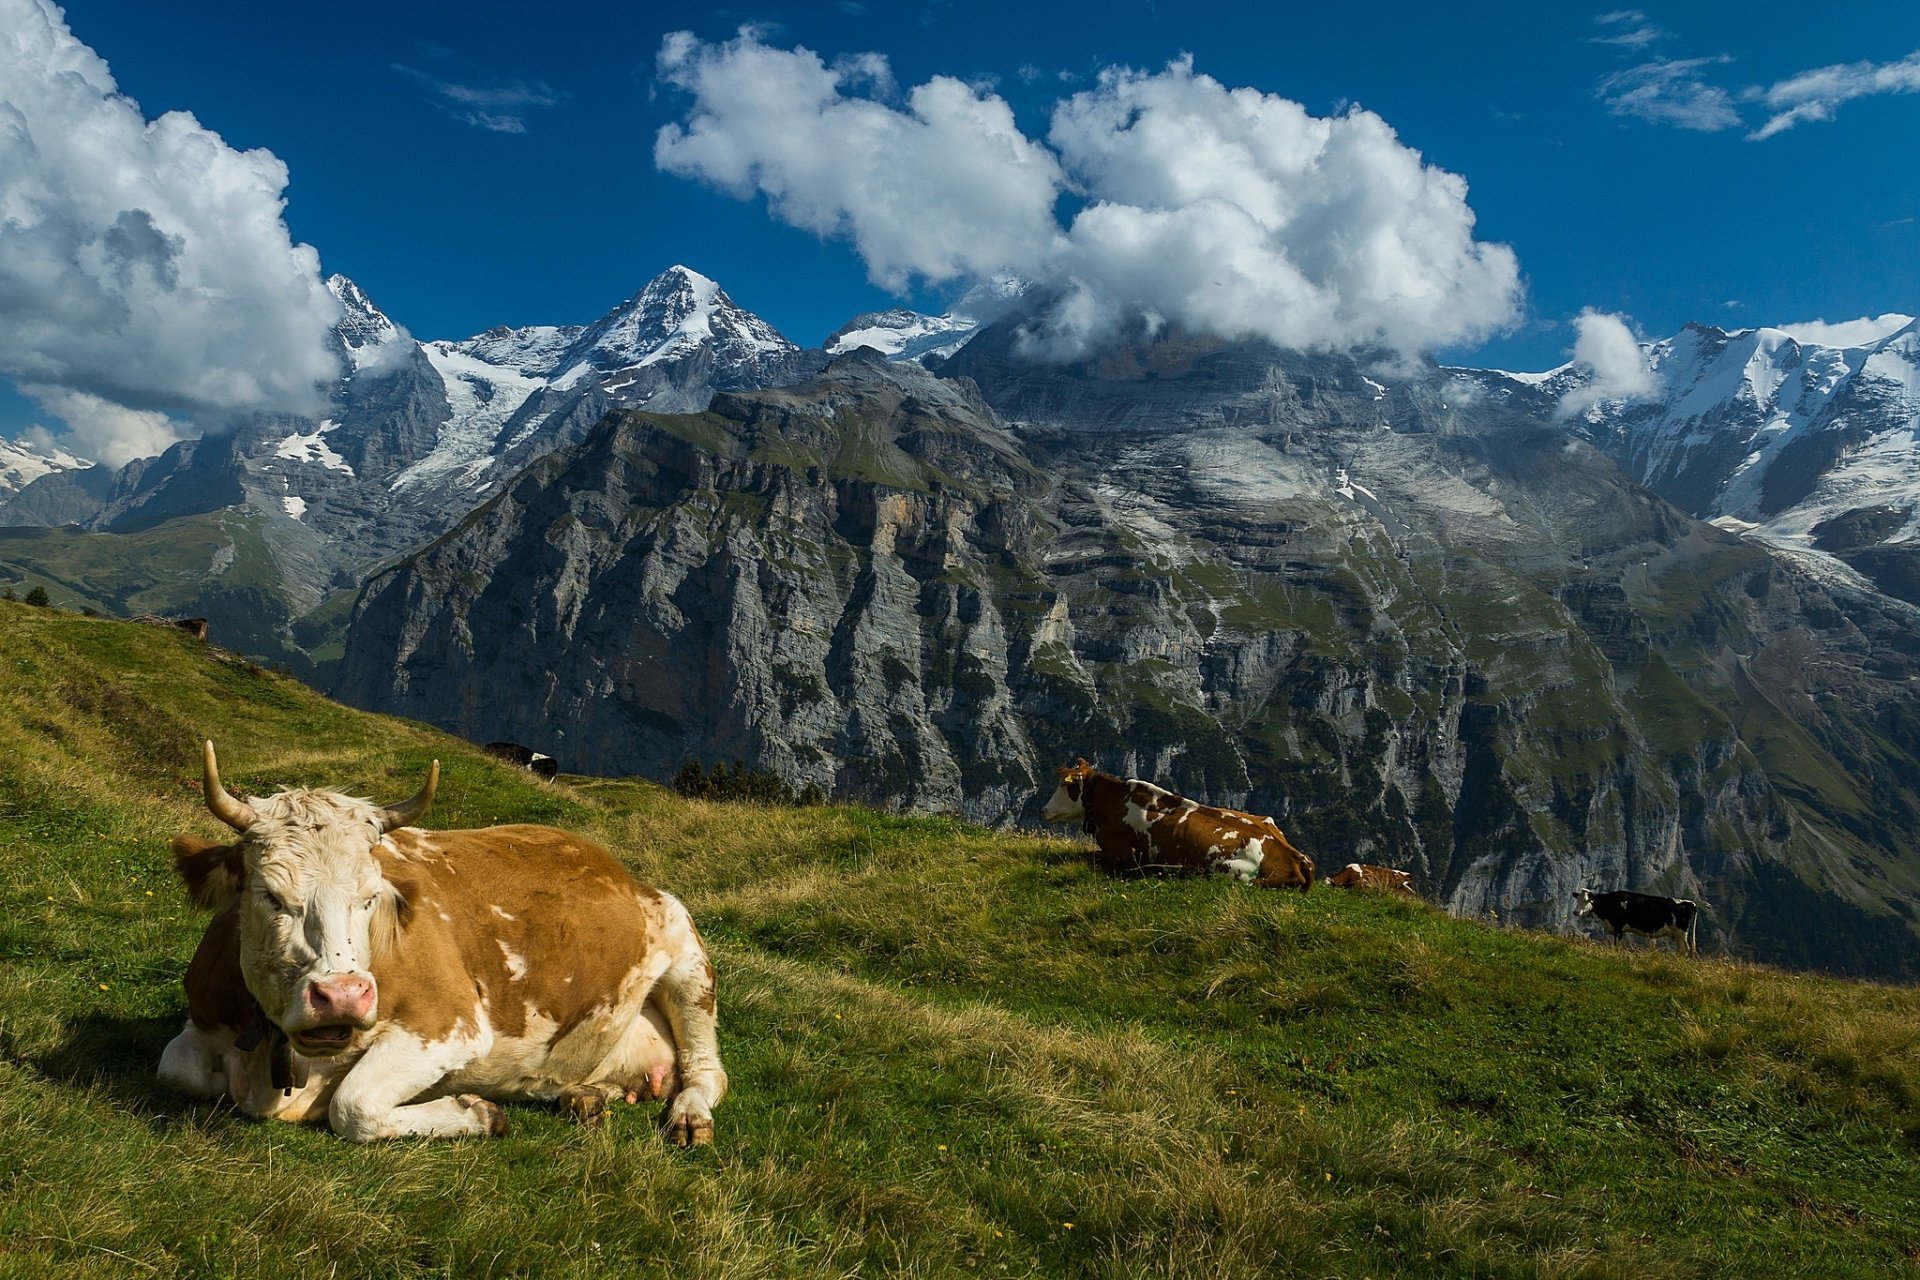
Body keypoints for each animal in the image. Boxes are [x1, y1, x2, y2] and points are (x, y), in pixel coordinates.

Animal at [156, 741, 726, 1144]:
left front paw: (478, 1112)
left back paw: (688, 1117)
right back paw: (584, 1095)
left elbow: (353, 1105)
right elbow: (176, 1069)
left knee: (706, 1071)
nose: (341, 996)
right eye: (270, 895)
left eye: (370, 896)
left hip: (689, 962)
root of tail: (618, 870)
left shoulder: (450, 1025)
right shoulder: (203, 1020)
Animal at [1039, 759, 1314, 890]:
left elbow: (1091, 856)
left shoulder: (1121, 856)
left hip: (1229, 870)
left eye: (1065, 784)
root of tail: (1296, 857)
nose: (1043, 809)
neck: (1115, 803)